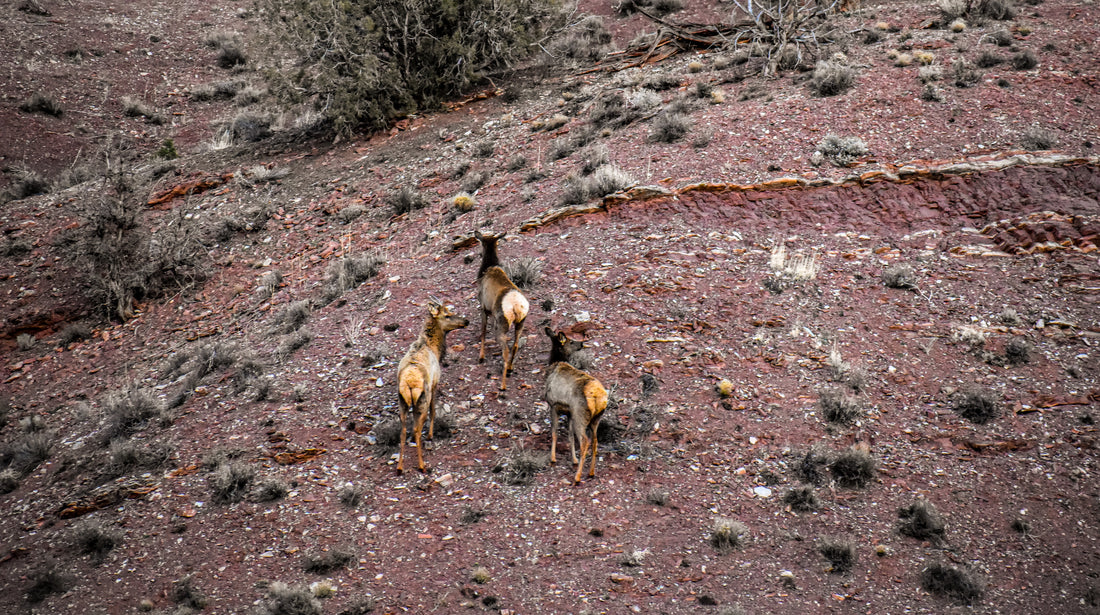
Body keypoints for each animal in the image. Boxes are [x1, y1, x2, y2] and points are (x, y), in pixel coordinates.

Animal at [396, 301, 468, 473]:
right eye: (447, 315)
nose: (466, 321)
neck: (433, 347)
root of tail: (409, 383)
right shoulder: (435, 383)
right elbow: (434, 411)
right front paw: (430, 435)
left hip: (402, 401)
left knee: (403, 431)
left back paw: (400, 467)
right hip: (423, 398)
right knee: (417, 429)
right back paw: (422, 465)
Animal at [473, 231, 528, 389]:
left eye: (481, 243)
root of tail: (516, 305)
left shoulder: (483, 307)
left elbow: (483, 332)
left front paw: (481, 357)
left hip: (502, 326)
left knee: (506, 351)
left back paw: (503, 386)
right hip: (520, 323)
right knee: (515, 345)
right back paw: (510, 368)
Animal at [543, 327, 611, 486]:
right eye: (572, 341)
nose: (582, 343)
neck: (554, 365)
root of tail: (598, 396)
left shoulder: (553, 404)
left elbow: (554, 432)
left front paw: (553, 458)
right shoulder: (569, 412)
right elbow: (569, 436)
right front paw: (573, 460)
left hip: (580, 414)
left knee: (585, 441)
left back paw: (577, 477)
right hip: (595, 419)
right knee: (595, 441)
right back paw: (591, 472)